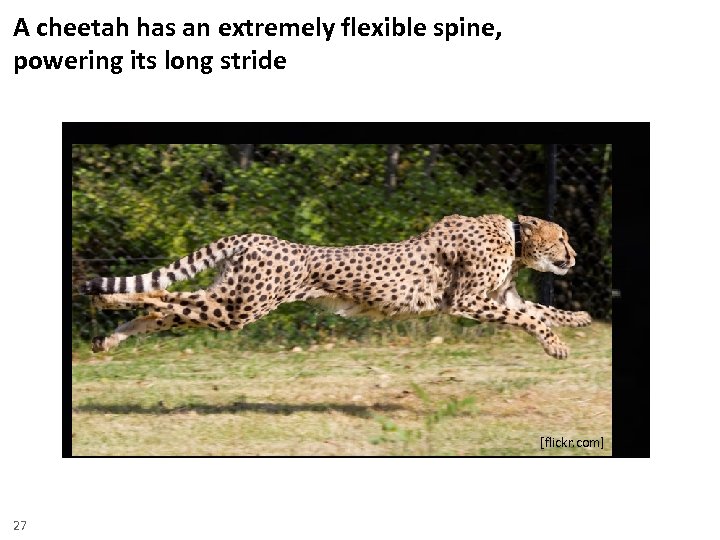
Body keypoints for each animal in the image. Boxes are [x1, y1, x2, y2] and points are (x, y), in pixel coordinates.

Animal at [79, 214, 591, 358]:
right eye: (563, 237)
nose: (575, 257)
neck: (515, 237)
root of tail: (256, 236)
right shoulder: (467, 301)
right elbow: (529, 318)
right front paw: (556, 345)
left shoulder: (500, 296)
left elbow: (540, 311)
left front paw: (578, 318)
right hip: (241, 306)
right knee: (165, 297)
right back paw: (106, 299)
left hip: (231, 300)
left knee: (167, 308)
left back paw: (107, 337)